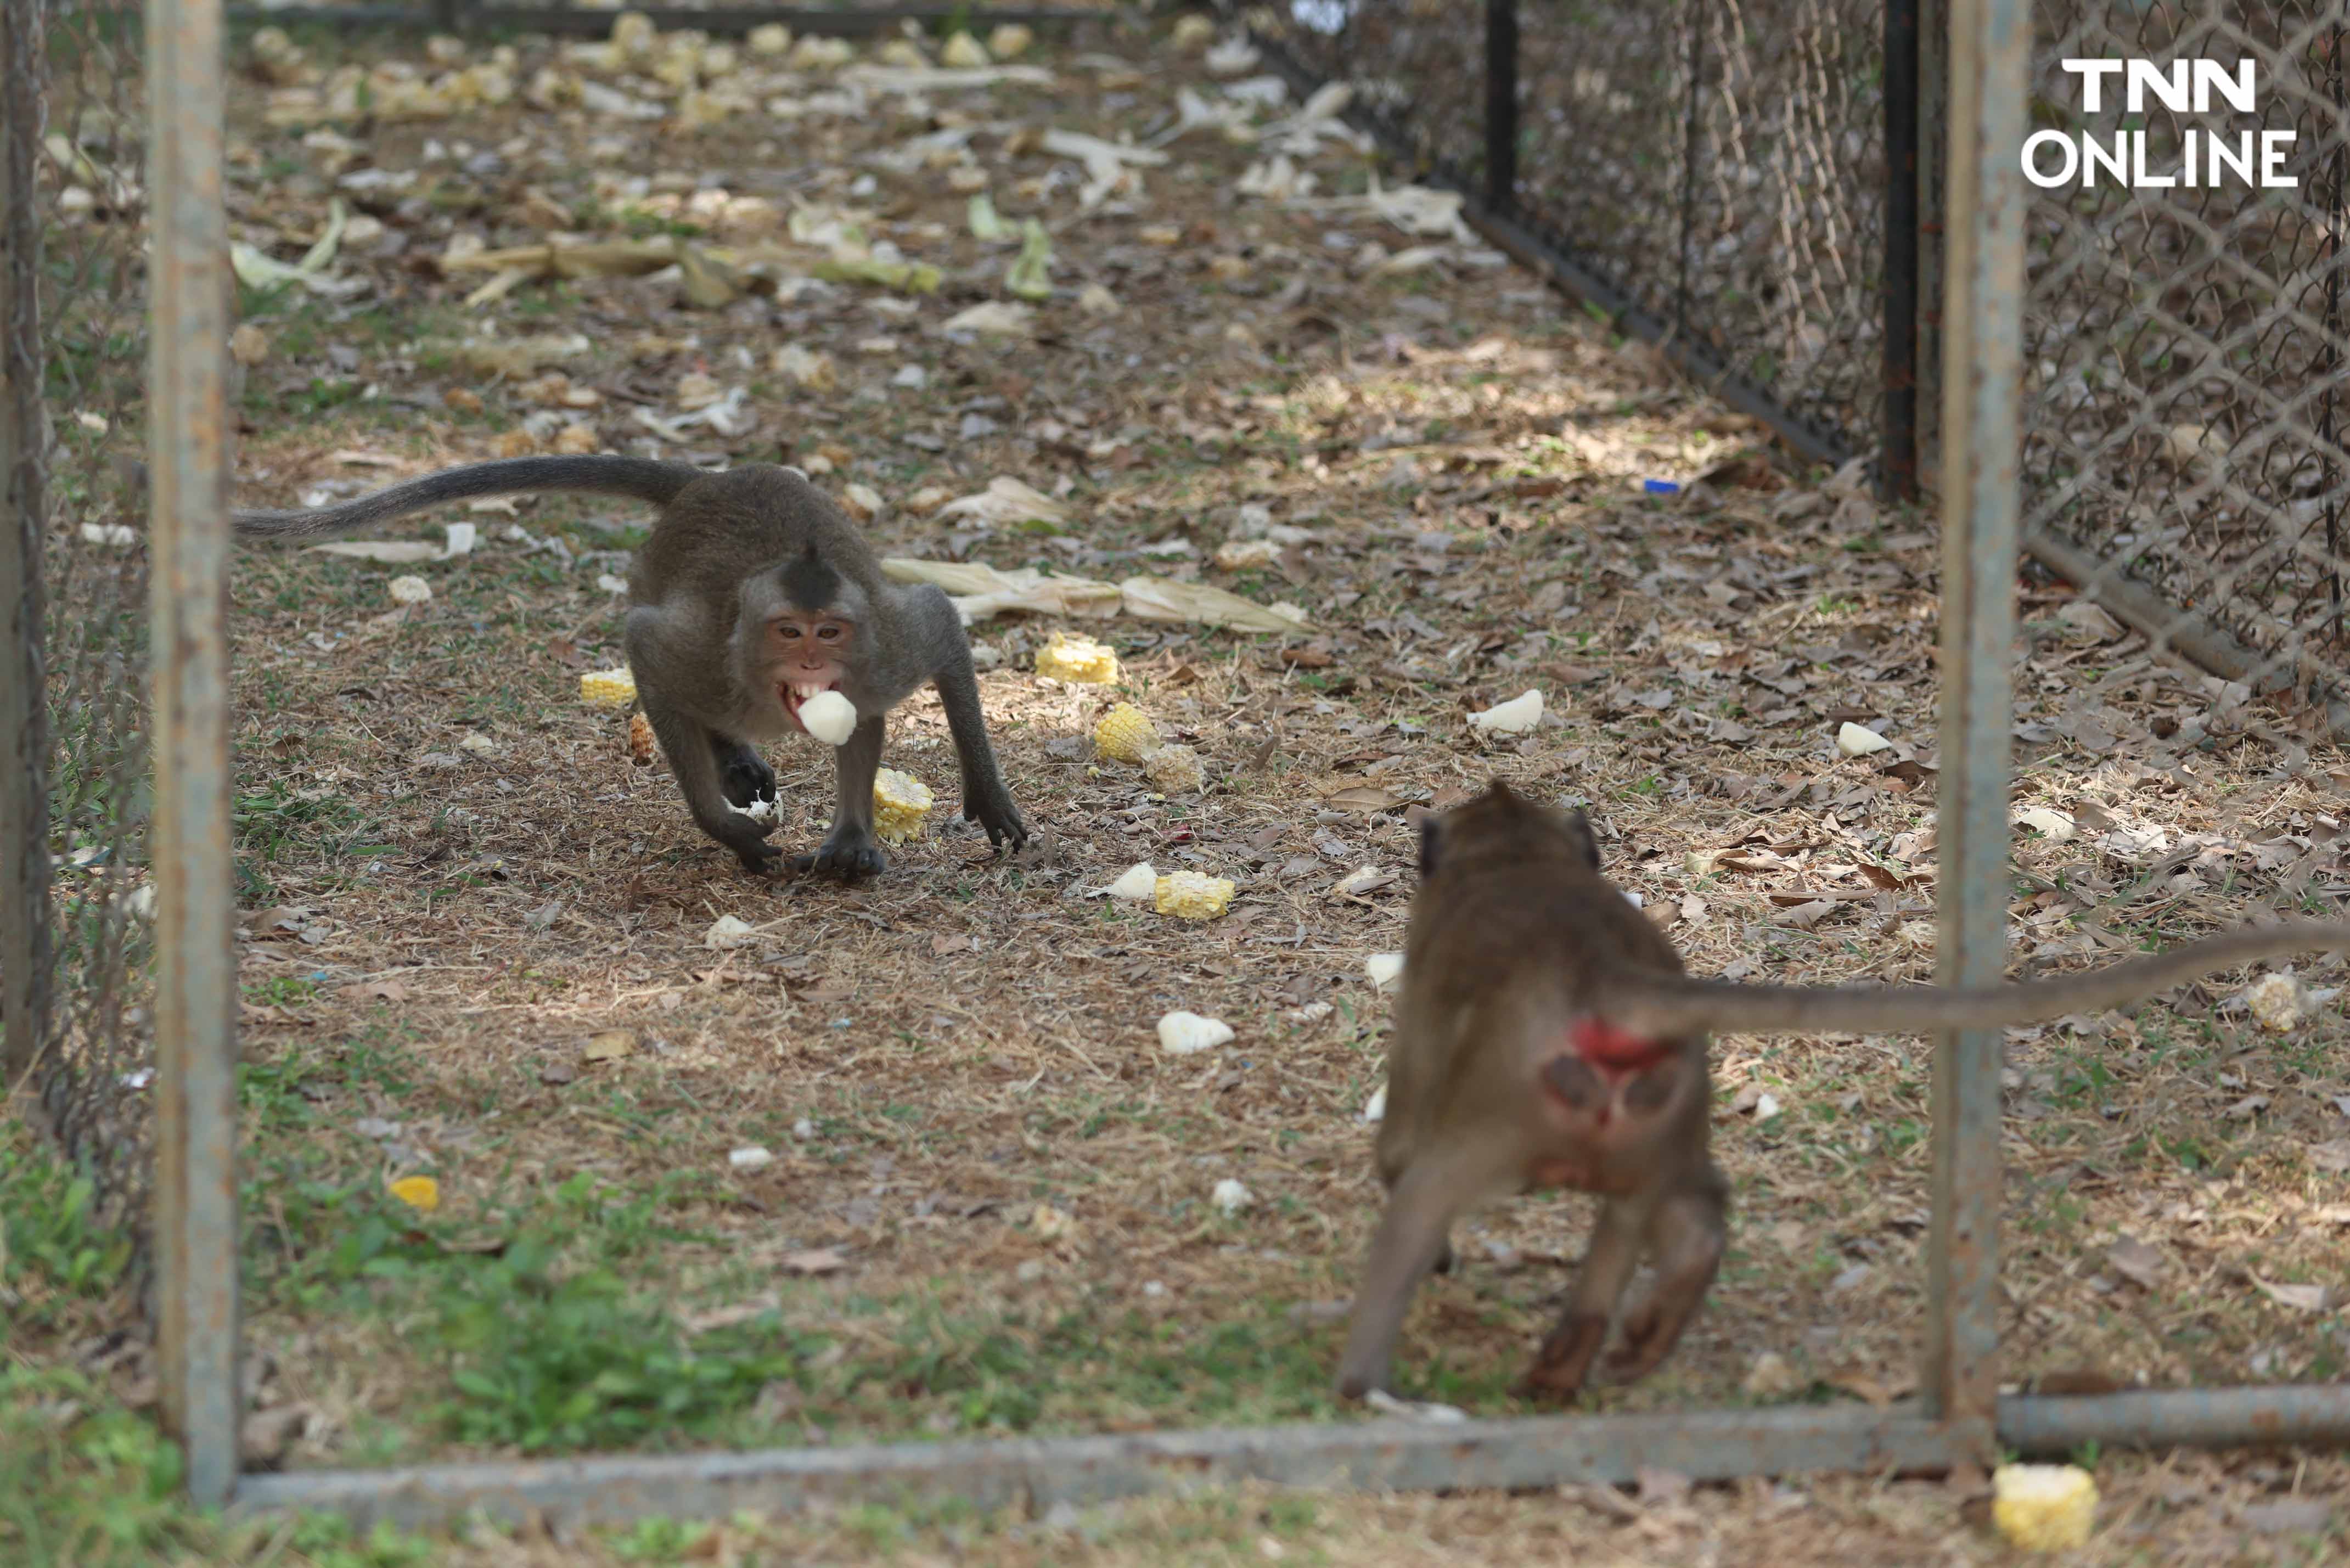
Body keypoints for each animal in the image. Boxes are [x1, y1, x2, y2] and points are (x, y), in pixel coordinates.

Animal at [236, 453, 1029, 879]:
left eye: (829, 632)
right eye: (789, 631)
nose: (811, 656)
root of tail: (708, 481)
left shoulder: (881, 653)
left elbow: (937, 618)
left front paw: (988, 797)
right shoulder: (705, 660)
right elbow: (645, 646)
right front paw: (729, 828)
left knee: (860, 723)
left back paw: (850, 838)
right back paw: (736, 763)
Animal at [1344, 785, 2350, 1410]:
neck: (1512, 858)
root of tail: (1604, 981)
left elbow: (1397, 1148)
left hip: (1508, 1108)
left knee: (1425, 1188)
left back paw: (1359, 1380)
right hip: (1664, 1106)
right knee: (1682, 1204)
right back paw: (1603, 1342)